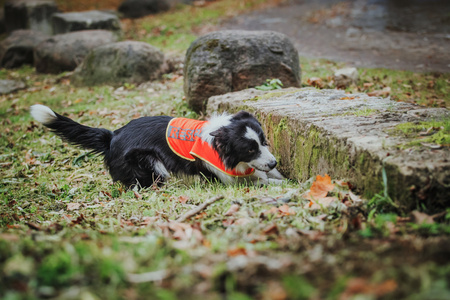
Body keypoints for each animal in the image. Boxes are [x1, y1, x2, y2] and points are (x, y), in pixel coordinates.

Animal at [29, 105, 284, 189]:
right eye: (249, 149)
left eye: (264, 142)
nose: (274, 162)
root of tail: (112, 136)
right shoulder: (222, 176)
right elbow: (257, 181)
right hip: (148, 161)